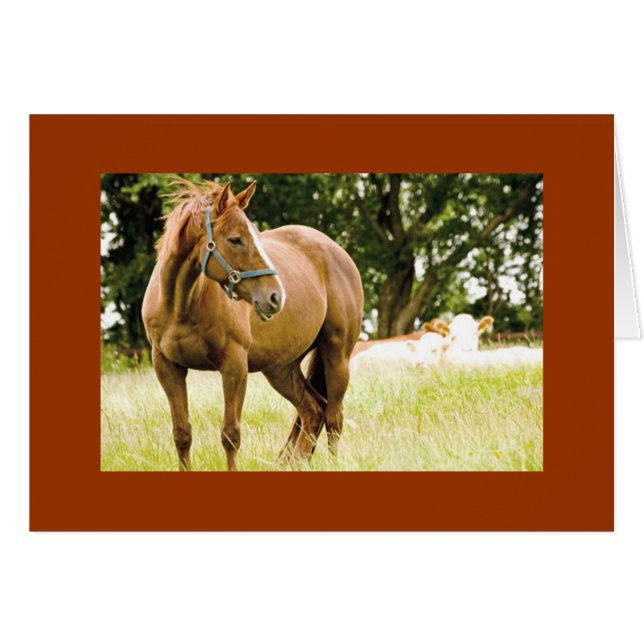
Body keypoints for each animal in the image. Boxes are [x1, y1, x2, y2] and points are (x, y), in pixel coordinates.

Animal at [142, 178, 364, 471]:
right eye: (235, 239)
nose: (276, 296)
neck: (182, 305)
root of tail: (336, 251)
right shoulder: (167, 366)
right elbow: (182, 434)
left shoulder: (234, 366)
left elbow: (230, 435)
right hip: (280, 369)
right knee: (313, 412)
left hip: (336, 357)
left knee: (333, 416)